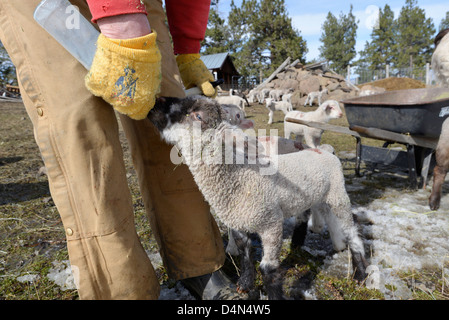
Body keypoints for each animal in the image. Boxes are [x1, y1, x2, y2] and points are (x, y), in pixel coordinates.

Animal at [147, 95, 368, 300]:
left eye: (197, 116)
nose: (156, 102)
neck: (240, 177)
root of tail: (326, 150)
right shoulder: (238, 221)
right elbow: (245, 253)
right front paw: (244, 284)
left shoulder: (271, 224)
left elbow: (268, 269)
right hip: (316, 195)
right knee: (306, 215)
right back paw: (298, 244)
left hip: (337, 194)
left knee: (352, 230)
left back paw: (360, 274)